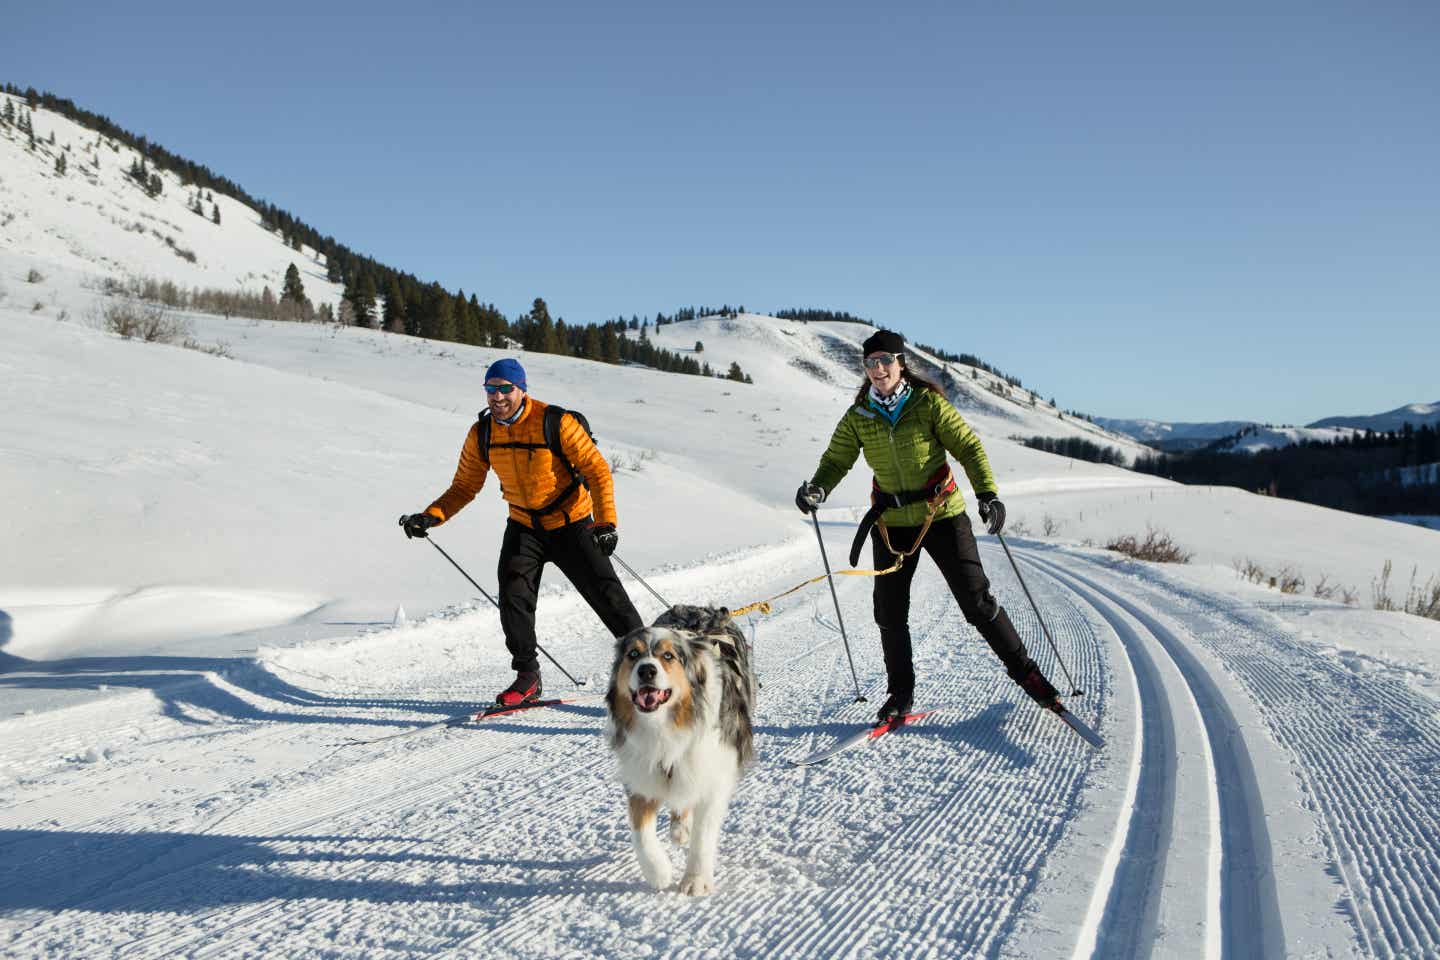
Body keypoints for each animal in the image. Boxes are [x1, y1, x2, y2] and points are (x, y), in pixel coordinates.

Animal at [604, 604, 760, 898]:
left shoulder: (713, 772)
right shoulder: (641, 772)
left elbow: (703, 833)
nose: (646, 671)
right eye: (633, 655)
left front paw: (695, 880)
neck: (665, 725)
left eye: (668, 656)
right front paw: (658, 872)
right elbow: (640, 831)